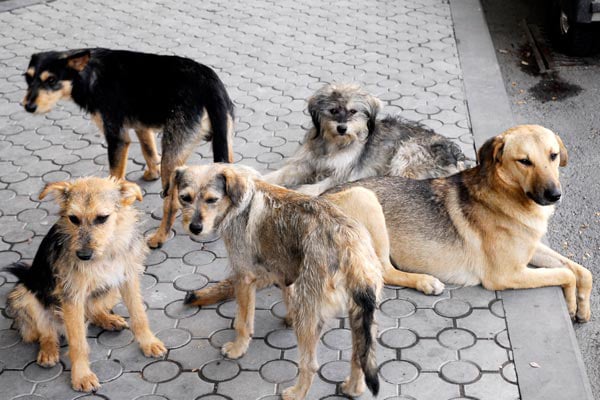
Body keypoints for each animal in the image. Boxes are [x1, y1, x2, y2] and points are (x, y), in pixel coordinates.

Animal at [6, 177, 166, 390]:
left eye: (102, 218)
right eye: (73, 218)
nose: (83, 255)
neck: (105, 254)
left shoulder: (128, 278)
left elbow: (139, 315)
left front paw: (148, 342)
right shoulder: (71, 295)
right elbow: (78, 342)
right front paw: (81, 375)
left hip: (111, 290)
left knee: (92, 311)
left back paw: (107, 319)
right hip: (23, 294)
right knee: (46, 331)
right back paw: (49, 350)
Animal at [22, 48, 234, 248]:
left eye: (51, 80)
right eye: (28, 78)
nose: (28, 106)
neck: (89, 73)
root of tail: (210, 82)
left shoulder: (117, 137)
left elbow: (115, 177)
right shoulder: (142, 127)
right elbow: (148, 150)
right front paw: (151, 173)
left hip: (171, 160)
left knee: (171, 203)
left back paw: (160, 236)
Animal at [171, 163, 382, 400]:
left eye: (211, 199)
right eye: (185, 198)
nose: (195, 227)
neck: (240, 202)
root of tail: (351, 249)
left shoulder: (244, 278)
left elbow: (244, 322)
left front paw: (238, 347)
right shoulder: (283, 271)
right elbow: (286, 295)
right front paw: (288, 318)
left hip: (310, 314)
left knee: (310, 364)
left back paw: (297, 392)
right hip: (361, 318)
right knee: (359, 357)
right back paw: (353, 388)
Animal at [264, 83, 466, 195]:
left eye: (353, 111)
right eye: (333, 110)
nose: (342, 128)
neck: (334, 143)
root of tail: (457, 158)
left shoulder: (346, 172)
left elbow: (321, 186)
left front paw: (301, 191)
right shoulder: (305, 162)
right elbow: (280, 173)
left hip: (405, 157)